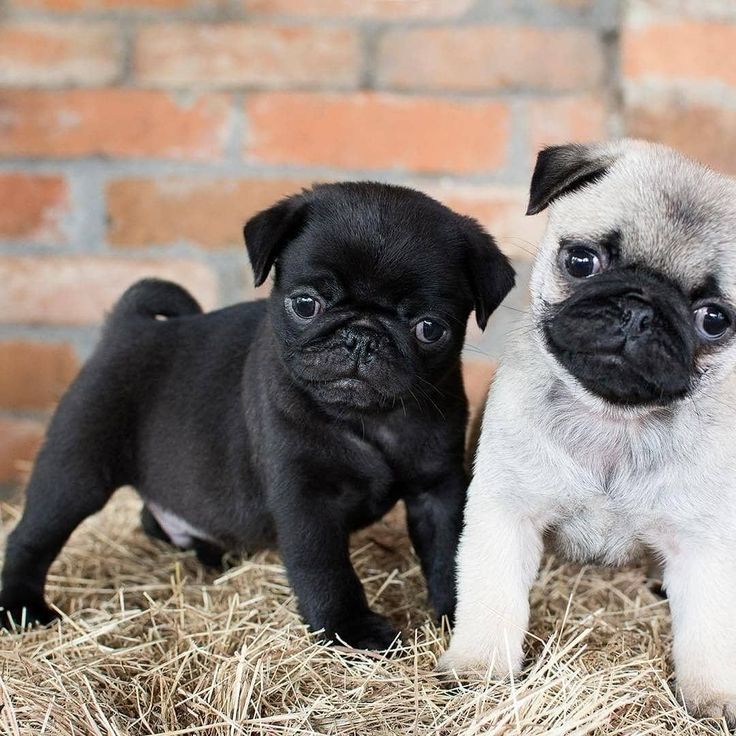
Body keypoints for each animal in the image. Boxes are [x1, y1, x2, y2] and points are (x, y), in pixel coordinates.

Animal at [0, 183, 516, 648]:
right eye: (306, 304)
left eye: (430, 329)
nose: (362, 337)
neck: (366, 418)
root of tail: (129, 325)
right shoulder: (306, 499)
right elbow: (325, 570)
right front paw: (351, 631)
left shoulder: (437, 490)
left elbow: (451, 552)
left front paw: (463, 619)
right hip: (76, 468)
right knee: (31, 536)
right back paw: (21, 607)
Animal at [440, 141, 736, 720]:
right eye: (581, 261)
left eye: (714, 319)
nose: (641, 310)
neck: (613, 420)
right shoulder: (506, 515)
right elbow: (492, 596)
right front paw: (481, 668)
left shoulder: (701, 546)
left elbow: (709, 629)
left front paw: (714, 695)